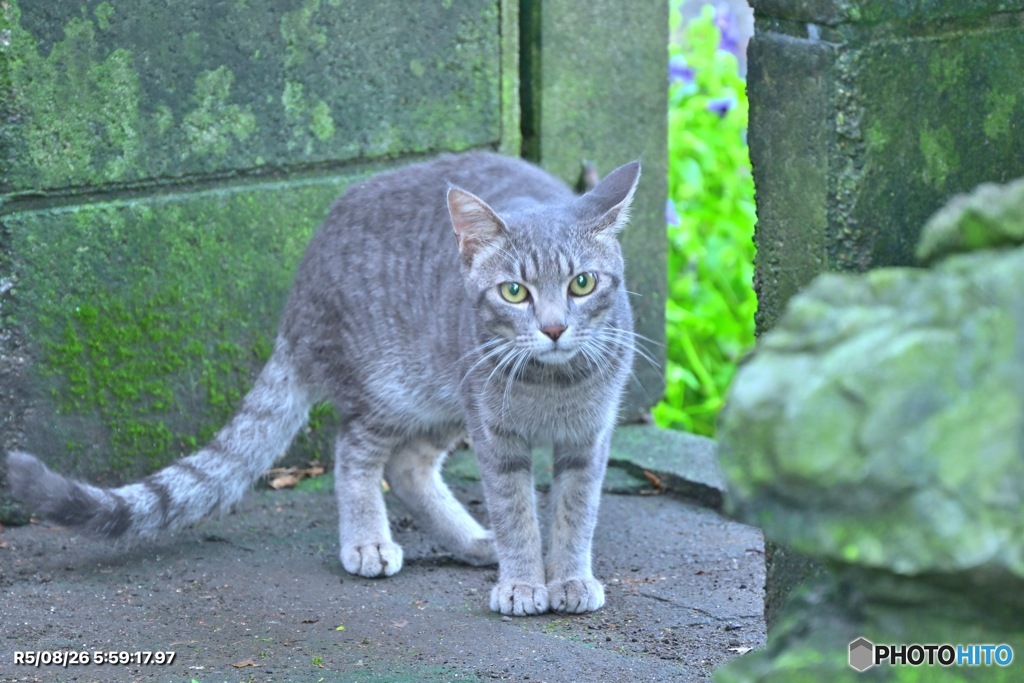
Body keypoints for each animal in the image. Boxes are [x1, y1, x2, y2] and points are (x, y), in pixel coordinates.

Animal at [6, 150, 638, 618]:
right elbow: (516, 512)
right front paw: (524, 582)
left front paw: (569, 578)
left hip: (439, 397)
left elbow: (575, 512)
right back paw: (368, 541)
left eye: (582, 283)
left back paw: (468, 540)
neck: (551, 384)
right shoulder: (495, 434)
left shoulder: (589, 437)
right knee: (355, 455)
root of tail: (301, 290)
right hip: (390, 389)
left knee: (407, 466)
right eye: (514, 292)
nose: (553, 328)